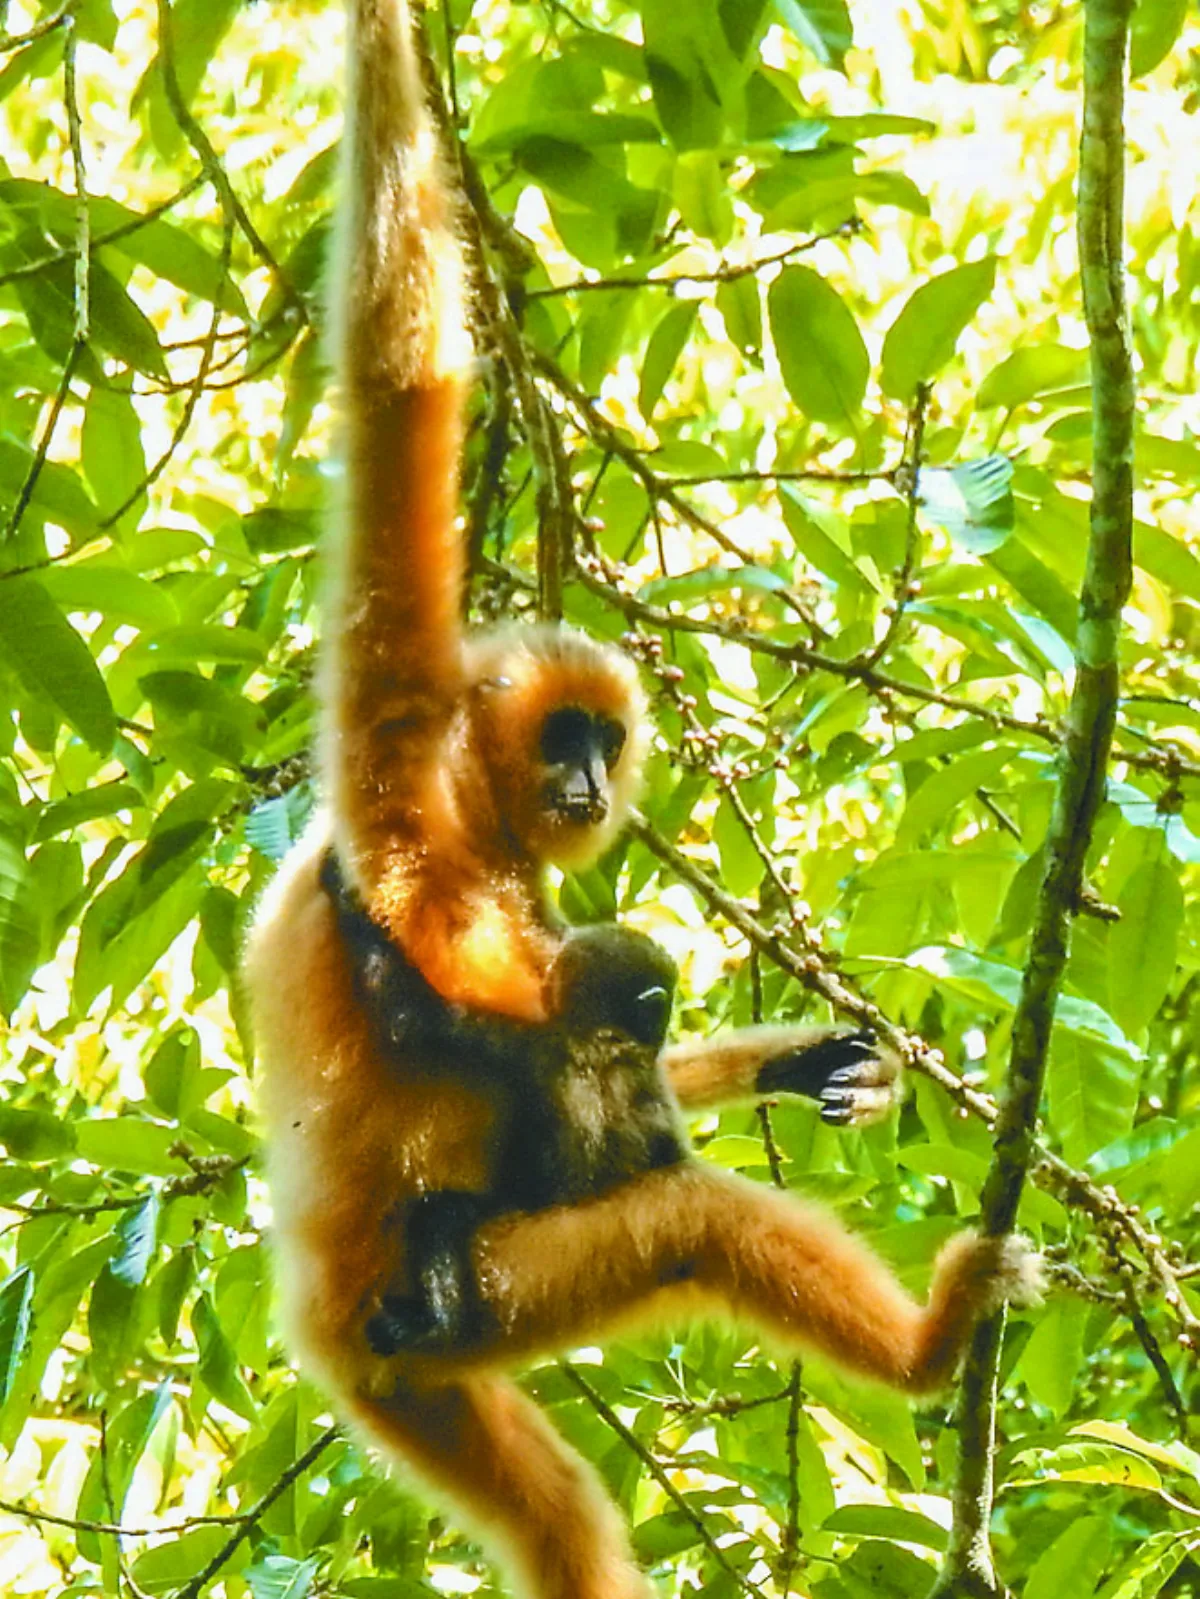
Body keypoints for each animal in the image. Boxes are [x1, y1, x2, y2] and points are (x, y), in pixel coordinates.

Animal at [241, 5, 1042, 1598]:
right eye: (565, 736)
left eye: (607, 746)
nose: (586, 779)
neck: (471, 820)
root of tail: (325, 1321)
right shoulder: (393, 748)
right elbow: (400, 389)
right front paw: (384, 52)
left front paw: (809, 1063)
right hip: (491, 1292)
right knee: (683, 1216)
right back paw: (931, 1352)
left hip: (428, 1371)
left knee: (556, 1512)